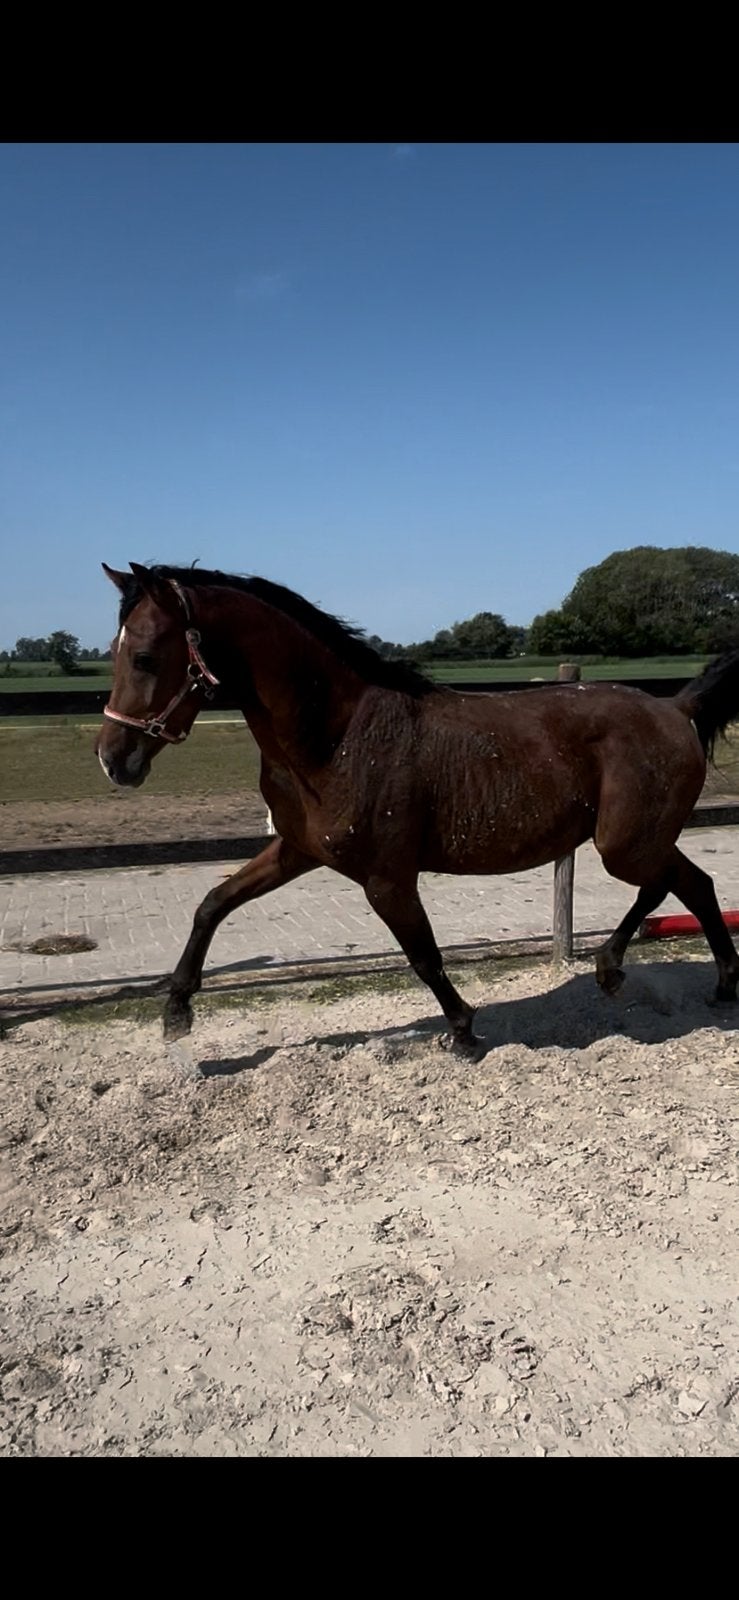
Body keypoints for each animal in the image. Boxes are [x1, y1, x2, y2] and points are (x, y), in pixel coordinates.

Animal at [95, 561, 739, 1055]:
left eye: (146, 656)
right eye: (115, 651)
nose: (113, 759)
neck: (339, 736)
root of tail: (675, 708)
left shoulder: (386, 878)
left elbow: (424, 956)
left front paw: (465, 1032)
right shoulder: (297, 850)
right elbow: (213, 903)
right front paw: (176, 1010)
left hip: (623, 845)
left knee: (676, 883)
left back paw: (629, 969)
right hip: (635, 841)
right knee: (691, 883)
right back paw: (695, 982)